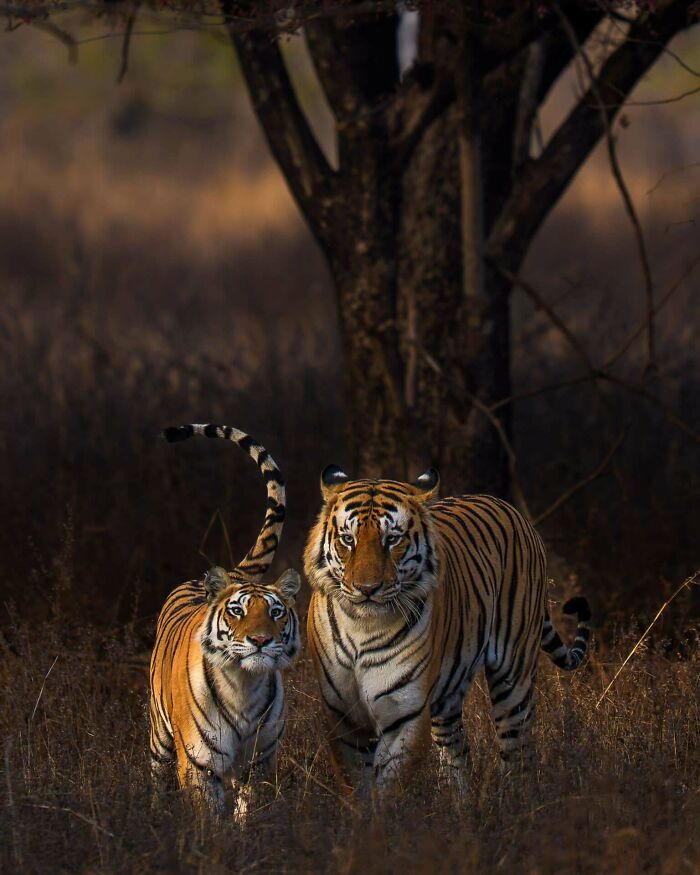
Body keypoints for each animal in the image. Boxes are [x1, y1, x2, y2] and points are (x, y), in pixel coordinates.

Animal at [149, 424, 301, 815]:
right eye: (237, 611)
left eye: (276, 612)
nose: (260, 640)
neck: (243, 687)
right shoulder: (200, 765)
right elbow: (210, 818)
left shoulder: (258, 764)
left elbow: (249, 812)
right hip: (160, 738)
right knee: (157, 777)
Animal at [304, 466, 591, 797]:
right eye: (348, 539)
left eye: (392, 539)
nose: (367, 589)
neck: (362, 626)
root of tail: (507, 507)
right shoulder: (342, 717)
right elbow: (356, 790)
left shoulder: (405, 714)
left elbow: (387, 790)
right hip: (449, 696)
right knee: (457, 753)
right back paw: (460, 806)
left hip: (513, 676)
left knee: (517, 751)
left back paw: (513, 801)